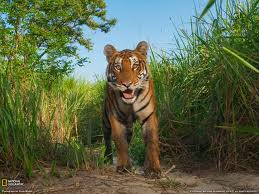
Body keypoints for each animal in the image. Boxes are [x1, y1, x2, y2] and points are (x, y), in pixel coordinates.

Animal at [103, 41, 160, 177]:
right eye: (118, 67)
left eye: (135, 66)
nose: (127, 84)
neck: (130, 104)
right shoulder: (115, 118)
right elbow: (120, 142)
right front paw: (124, 166)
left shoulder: (148, 116)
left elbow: (151, 141)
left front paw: (153, 169)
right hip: (106, 120)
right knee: (107, 139)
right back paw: (108, 158)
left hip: (128, 126)